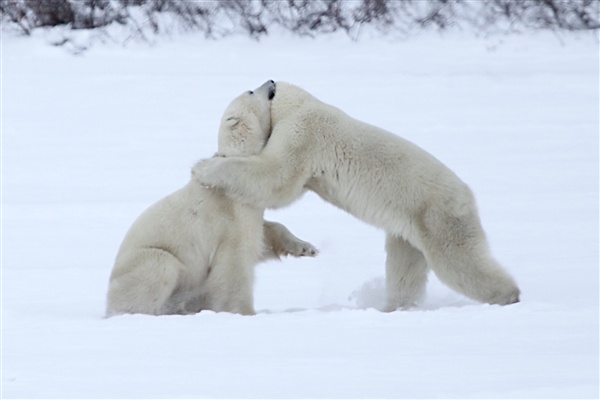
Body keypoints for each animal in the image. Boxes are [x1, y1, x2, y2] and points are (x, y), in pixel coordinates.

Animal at [106, 81, 318, 318]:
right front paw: (245, 312)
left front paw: (306, 248)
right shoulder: (228, 217)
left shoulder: (248, 207)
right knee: (160, 265)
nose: (271, 81)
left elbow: (264, 235)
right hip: (140, 263)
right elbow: (234, 264)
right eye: (251, 91)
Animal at [197, 79, 520, 310]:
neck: (301, 104)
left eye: (255, 89)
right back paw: (395, 306)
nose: (270, 80)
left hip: (437, 216)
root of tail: (468, 195)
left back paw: (509, 295)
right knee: (405, 267)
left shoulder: (303, 133)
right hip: (409, 229)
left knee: (459, 262)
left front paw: (204, 168)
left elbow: (277, 177)